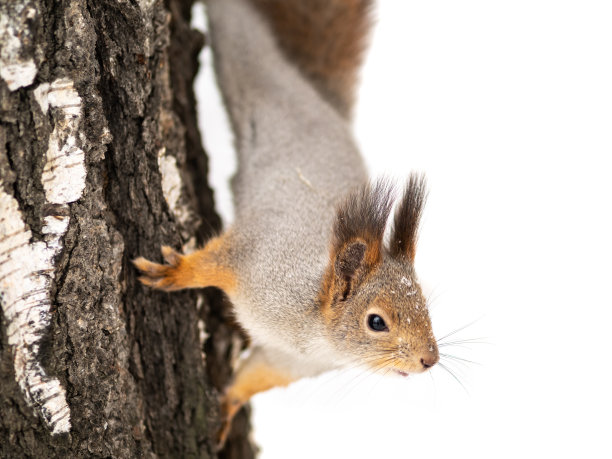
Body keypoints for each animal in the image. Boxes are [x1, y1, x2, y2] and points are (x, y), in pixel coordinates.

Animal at [134, 0, 440, 450]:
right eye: (376, 322)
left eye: (425, 306)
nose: (429, 360)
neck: (313, 336)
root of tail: (318, 101)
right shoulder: (257, 260)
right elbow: (215, 262)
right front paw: (177, 272)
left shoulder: (283, 361)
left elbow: (251, 378)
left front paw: (226, 410)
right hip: (254, 72)